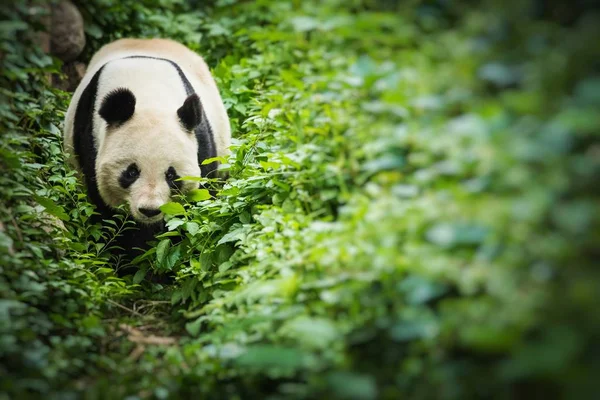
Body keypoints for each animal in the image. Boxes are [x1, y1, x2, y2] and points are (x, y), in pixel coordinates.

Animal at [63, 39, 231, 258]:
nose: (150, 210)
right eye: (131, 172)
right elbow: (109, 216)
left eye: (171, 175)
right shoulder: (89, 139)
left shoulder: (201, 142)